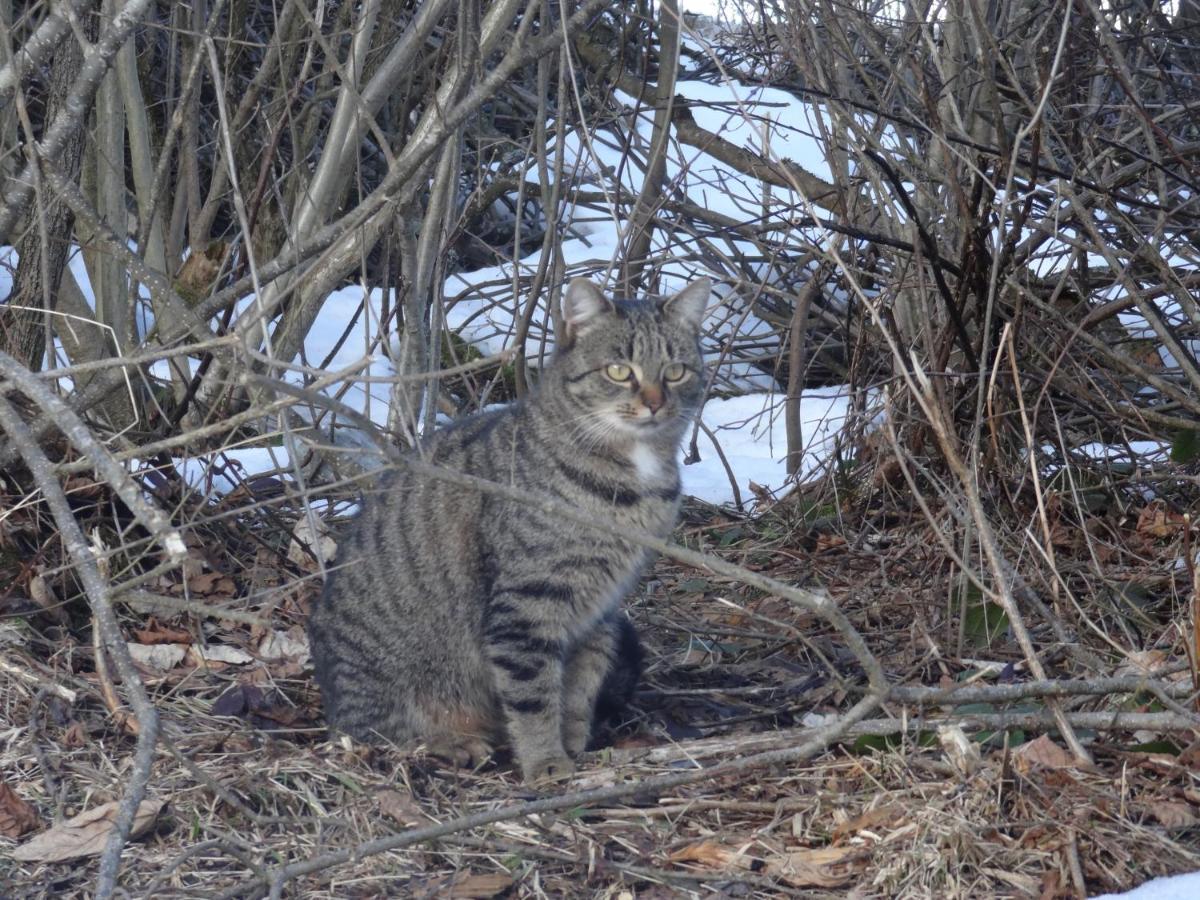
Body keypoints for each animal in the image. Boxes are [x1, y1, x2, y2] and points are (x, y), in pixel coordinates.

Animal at [309, 277, 710, 782]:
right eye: (620, 370)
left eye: (675, 371)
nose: (656, 403)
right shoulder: (527, 605)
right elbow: (534, 695)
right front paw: (546, 762)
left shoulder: (601, 610)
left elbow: (580, 687)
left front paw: (573, 742)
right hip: (381, 689)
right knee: (376, 734)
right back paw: (451, 743)